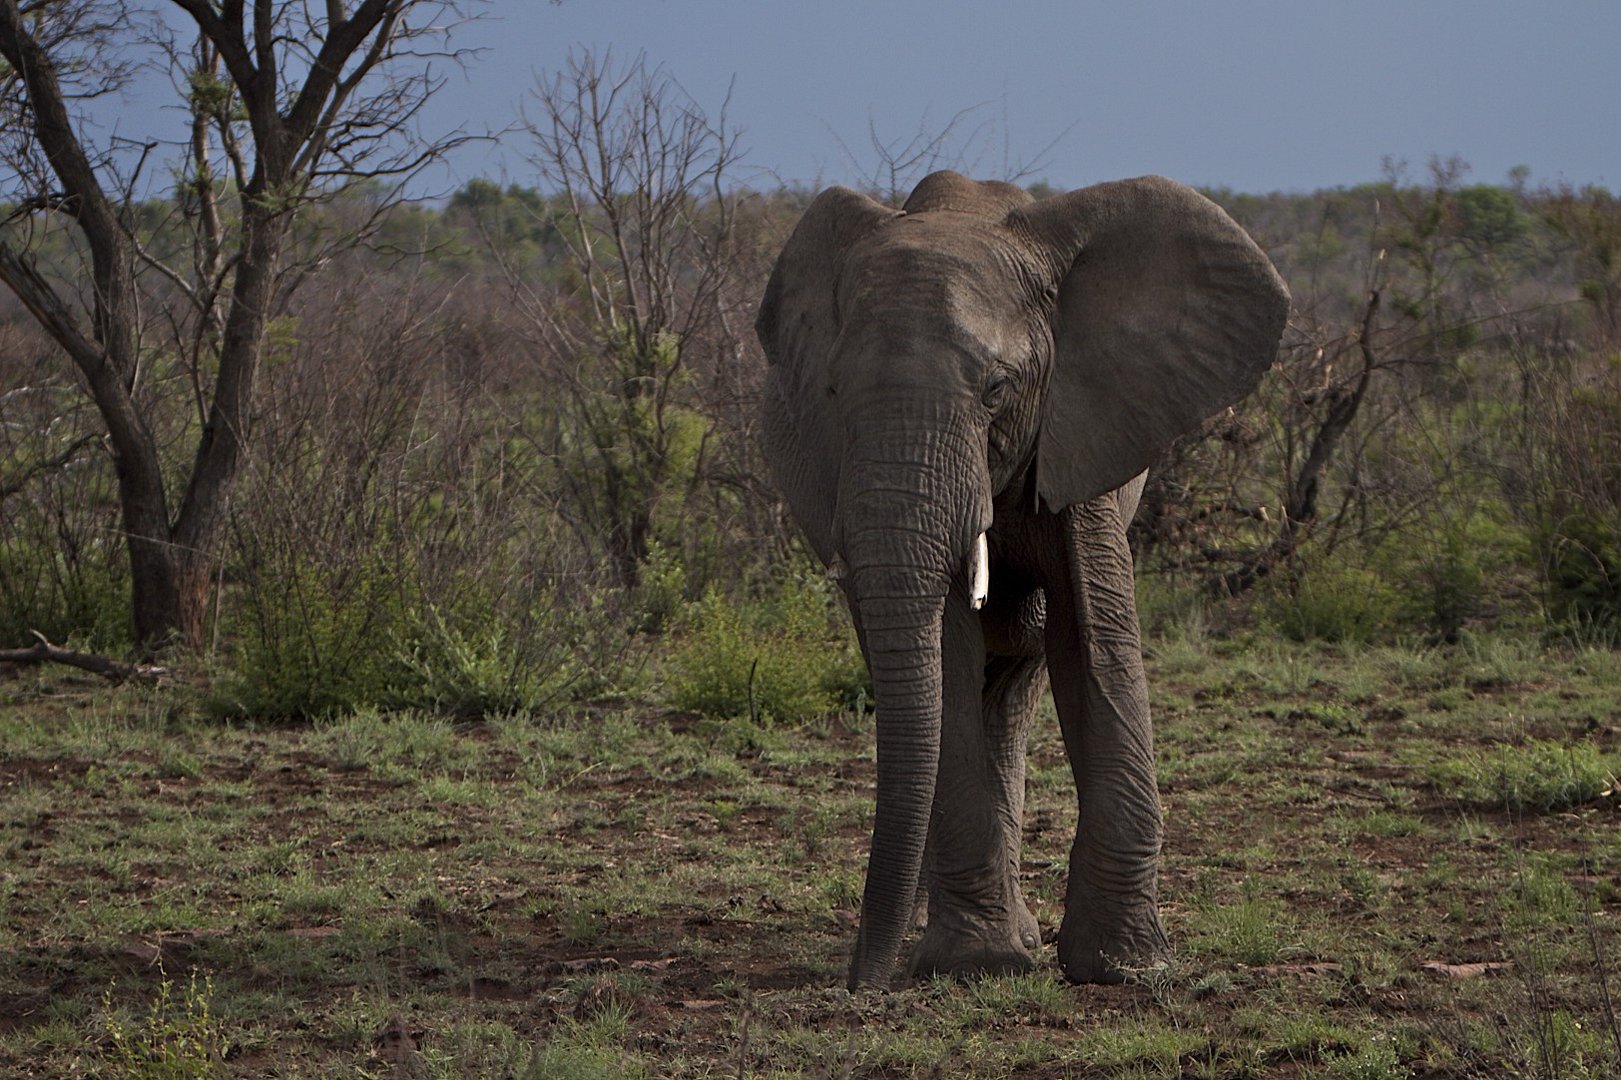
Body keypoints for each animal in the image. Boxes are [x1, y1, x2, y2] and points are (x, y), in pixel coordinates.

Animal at [755, 166, 1290, 985]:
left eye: (997, 390)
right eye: (834, 393)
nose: (860, 984)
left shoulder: (1089, 420)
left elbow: (1093, 640)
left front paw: (1124, 970)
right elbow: (946, 650)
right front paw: (978, 964)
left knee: (1016, 678)